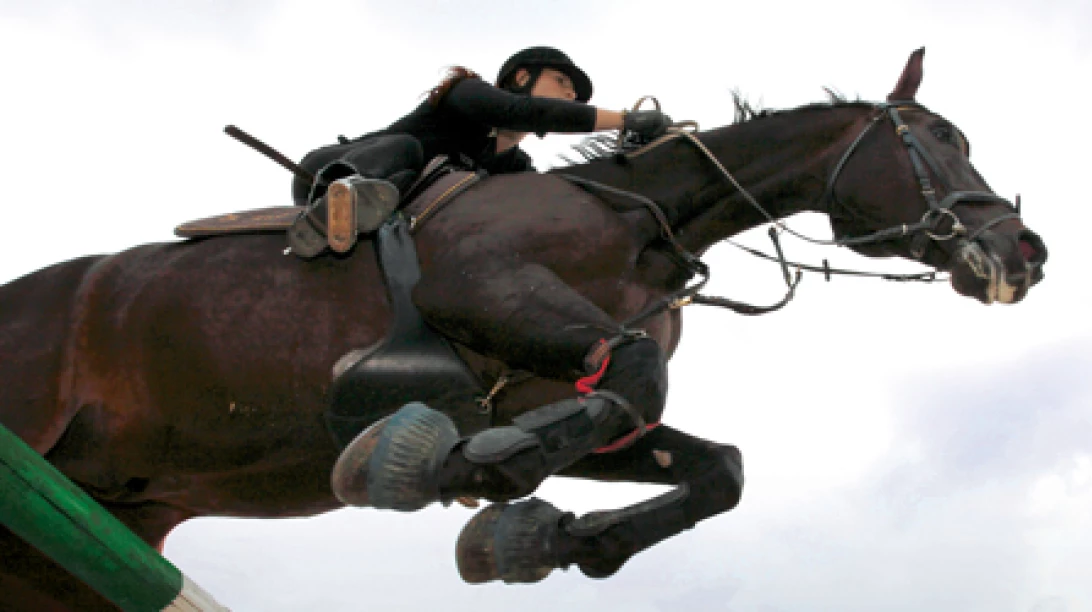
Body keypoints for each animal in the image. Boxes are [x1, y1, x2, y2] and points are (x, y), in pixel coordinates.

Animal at [0, 49, 1046, 610]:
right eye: (940, 140)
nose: (1024, 251)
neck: (643, 221)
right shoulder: (486, 292)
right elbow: (634, 375)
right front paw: (438, 471)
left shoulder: (552, 391)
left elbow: (711, 463)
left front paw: (540, 540)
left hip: (100, 523)